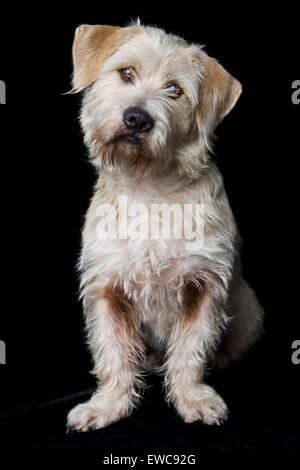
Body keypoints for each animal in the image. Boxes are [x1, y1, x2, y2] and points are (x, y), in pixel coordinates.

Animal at [67, 20, 264, 432]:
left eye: (175, 89)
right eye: (126, 73)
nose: (137, 118)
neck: (151, 189)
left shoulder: (203, 287)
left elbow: (191, 350)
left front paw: (192, 398)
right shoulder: (106, 289)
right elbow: (113, 355)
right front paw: (107, 405)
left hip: (250, 310)